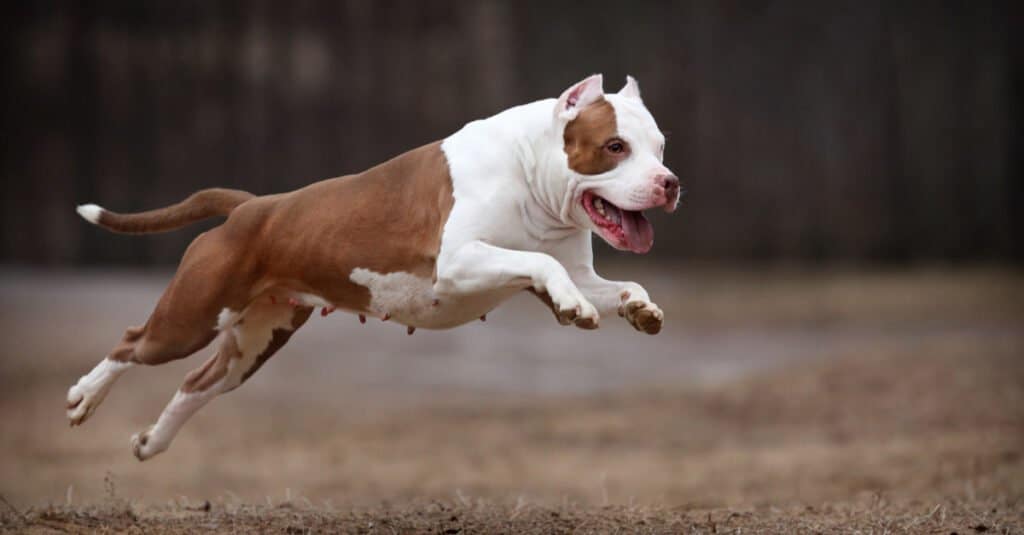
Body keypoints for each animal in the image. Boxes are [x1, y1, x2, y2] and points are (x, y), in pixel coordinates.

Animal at [68, 73, 684, 457]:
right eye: (615, 147)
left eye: (659, 146)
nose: (669, 182)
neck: (531, 172)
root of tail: (252, 207)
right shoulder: (459, 261)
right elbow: (538, 263)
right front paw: (574, 307)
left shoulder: (571, 268)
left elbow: (614, 280)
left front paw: (639, 308)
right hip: (192, 316)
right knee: (132, 342)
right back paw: (84, 398)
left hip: (254, 341)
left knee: (197, 383)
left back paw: (152, 442)